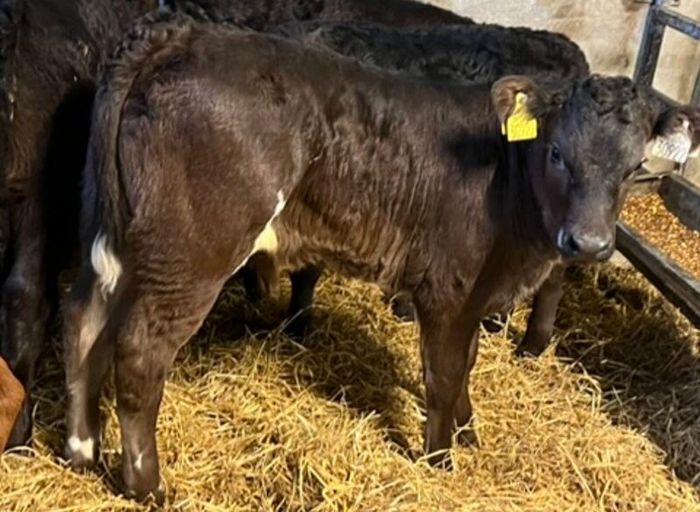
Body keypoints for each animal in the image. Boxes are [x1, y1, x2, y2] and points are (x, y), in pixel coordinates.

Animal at [61, 14, 700, 502]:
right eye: (558, 153)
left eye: (632, 167)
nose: (588, 244)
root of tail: (178, 35)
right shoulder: (448, 287)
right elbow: (444, 373)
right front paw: (440, 457)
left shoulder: (476, 294)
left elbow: (468, 361)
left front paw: (467, 429)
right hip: (193, 253)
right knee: (139, 353)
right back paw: (147, 485)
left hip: (125, 243)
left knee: (86, 324)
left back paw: (81, 449)